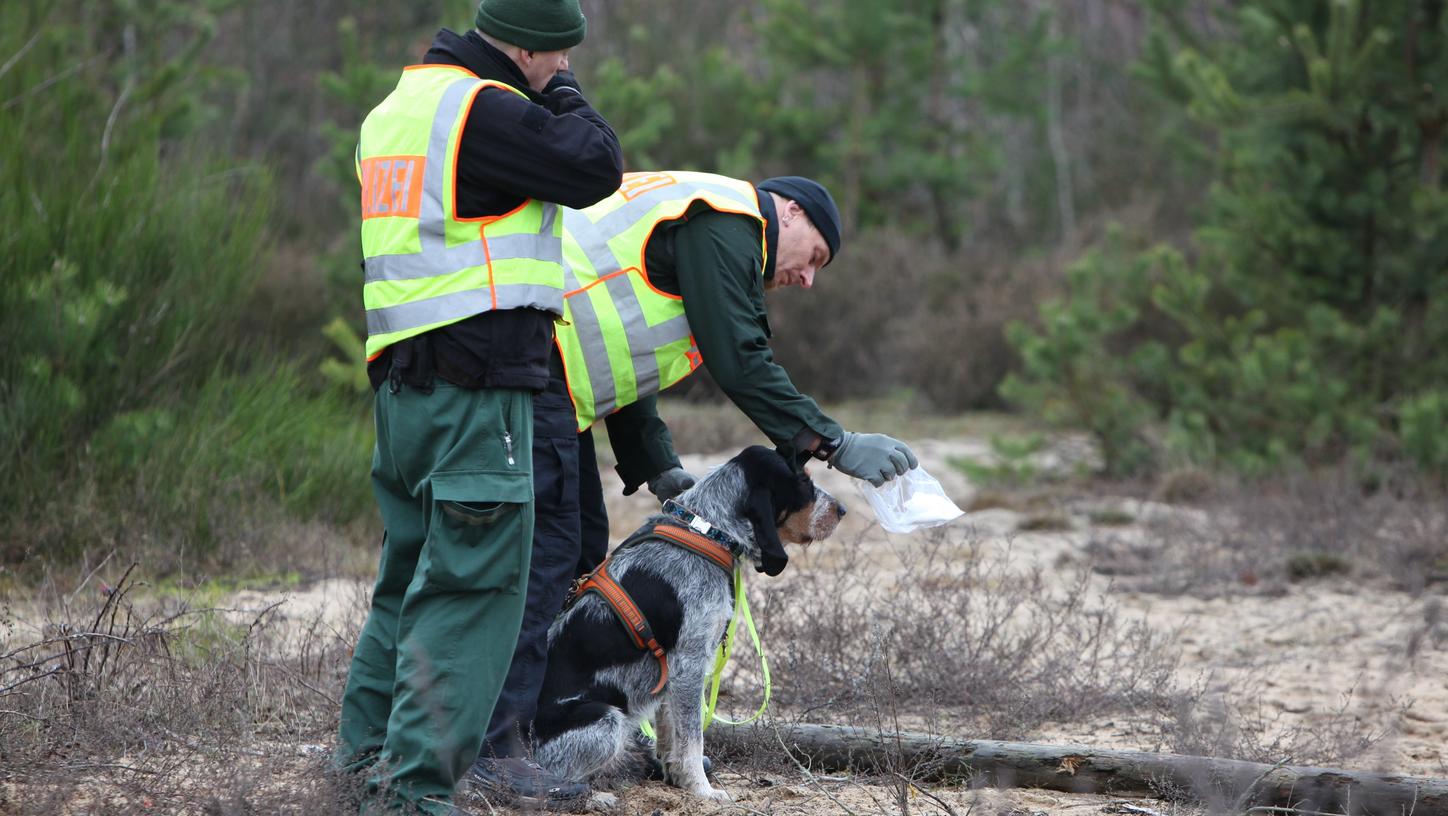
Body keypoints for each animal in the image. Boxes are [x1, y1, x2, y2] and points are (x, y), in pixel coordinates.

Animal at [532, 442, 845, 798]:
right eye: (803, 482)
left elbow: (672, 738)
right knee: (557, 777)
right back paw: (595, 796)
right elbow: (693, 739)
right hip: (606, 717)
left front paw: (678, 780)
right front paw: (703, 791)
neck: (708, 532)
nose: (842, 510)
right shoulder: (690, 664)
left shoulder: (673, 675)